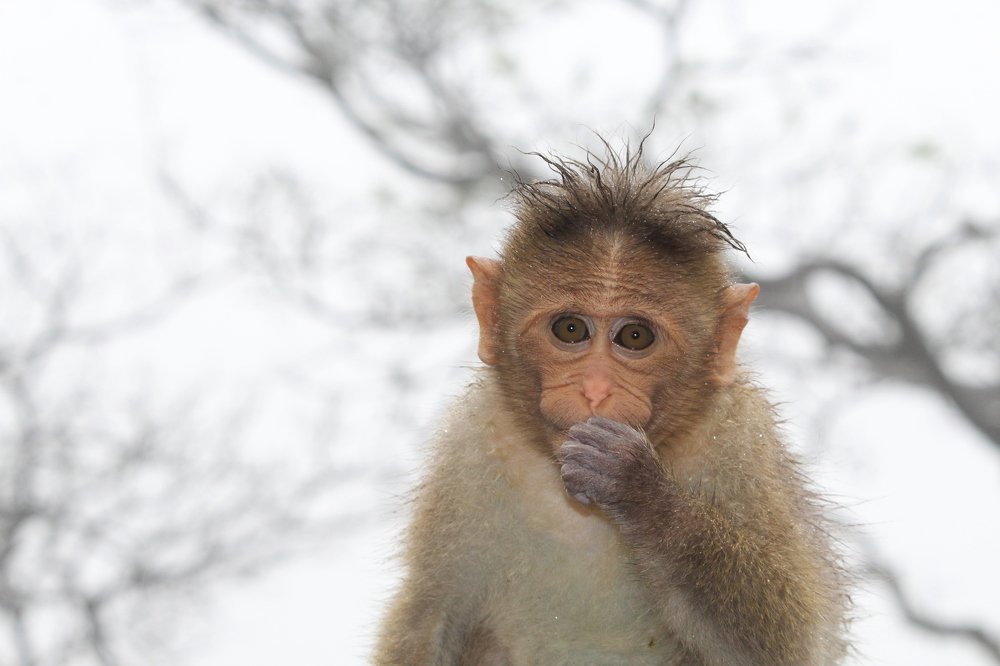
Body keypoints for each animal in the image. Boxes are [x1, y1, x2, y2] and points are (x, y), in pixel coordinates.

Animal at [374, 141, 849, 665]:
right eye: (570, 329)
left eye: (635, 336)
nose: (596, 390)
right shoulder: (470, 445)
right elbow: (430, 621)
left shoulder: (741, 439)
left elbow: (789, 641)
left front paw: (636, 487)